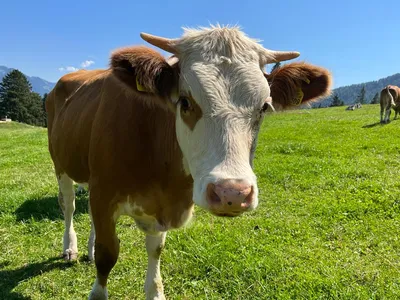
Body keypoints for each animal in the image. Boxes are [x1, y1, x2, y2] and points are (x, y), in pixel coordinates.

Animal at [46, 26, 332, 300]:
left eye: (264, 107)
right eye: (184, 101)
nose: (232, 194)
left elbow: (155, 248)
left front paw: (155, 292)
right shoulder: (105, 194)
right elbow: (108, 254)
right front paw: (98, 286)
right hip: (61, 165)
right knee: (69, 204)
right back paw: (70, 247)